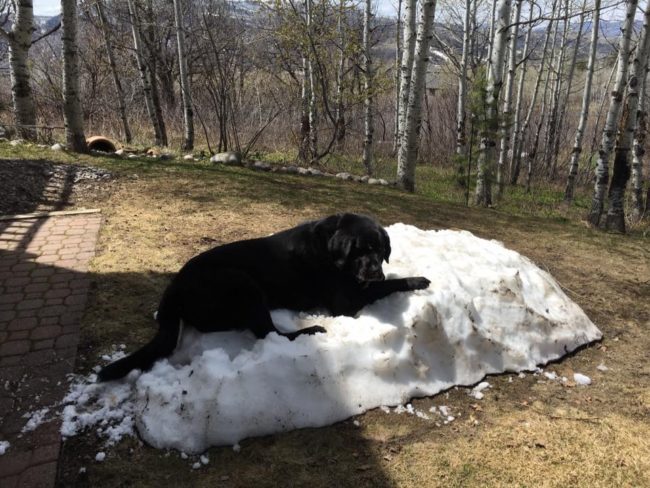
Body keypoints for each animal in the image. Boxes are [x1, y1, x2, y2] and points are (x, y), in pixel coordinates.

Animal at [97, 214, 430, 382]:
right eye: (360, 250)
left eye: (380, 249)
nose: (375, 271)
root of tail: (172, 291)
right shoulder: (345, 303)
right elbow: (386, 286)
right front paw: (416, 279)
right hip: (243, 283)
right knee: (270, 333)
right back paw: (311, 329)